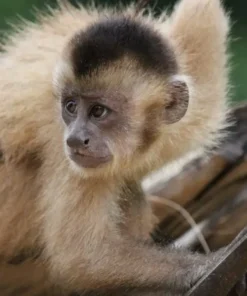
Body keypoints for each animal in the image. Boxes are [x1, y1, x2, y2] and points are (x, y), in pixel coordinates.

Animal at [0, 0, 244, 294]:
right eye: (70, 107)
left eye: (98, 111)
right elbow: (80, 257)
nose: (75, 139)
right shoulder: (56, 126)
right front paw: (209, 265)